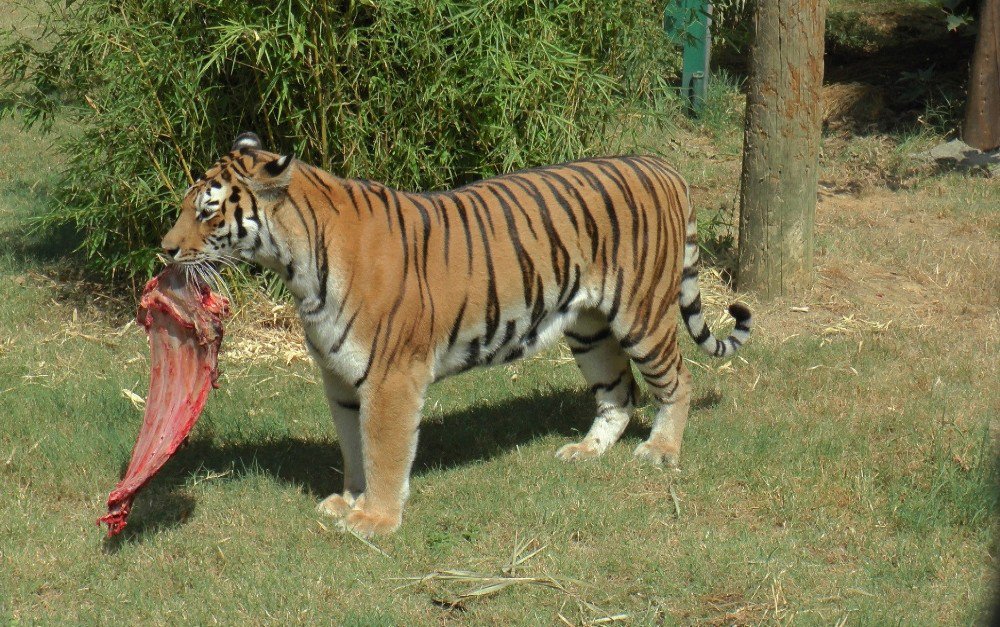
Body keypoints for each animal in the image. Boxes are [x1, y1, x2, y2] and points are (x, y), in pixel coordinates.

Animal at [160, 132, 752, 536]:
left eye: (208, 210)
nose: (164, 249)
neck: (297, 266)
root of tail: (659, 163)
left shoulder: (390, 379)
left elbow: (384, 450)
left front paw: (375, 519)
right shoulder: (340, 379)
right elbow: (353, 447)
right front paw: (348, 500)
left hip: (641, 315)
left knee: (676, 381)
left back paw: (660, 451)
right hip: (588, 329)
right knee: (619, 392)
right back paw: (587, 451)